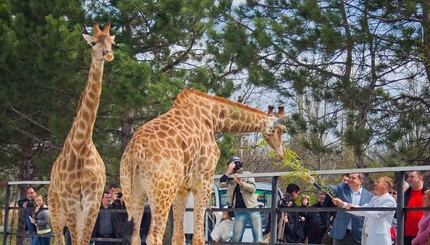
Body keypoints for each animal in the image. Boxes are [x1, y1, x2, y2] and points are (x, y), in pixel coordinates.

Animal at [48, 23, 115, 245]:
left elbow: (84, 240)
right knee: (57, 239)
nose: (108, 54)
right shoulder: (70, 203)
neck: (81, 145)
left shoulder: (92, 203)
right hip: (55, 211)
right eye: (93, 43)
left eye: (112, 43)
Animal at [119, 89, 288, 245]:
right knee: (154, 236)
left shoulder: (182, 189)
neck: (213, 118)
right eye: (283, 130)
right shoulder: (204, 180)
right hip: (163, 192)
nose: (282, 154)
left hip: (135, 190)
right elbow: (199, 237)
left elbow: (178, 237)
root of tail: (135, 151)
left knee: (135, 236)